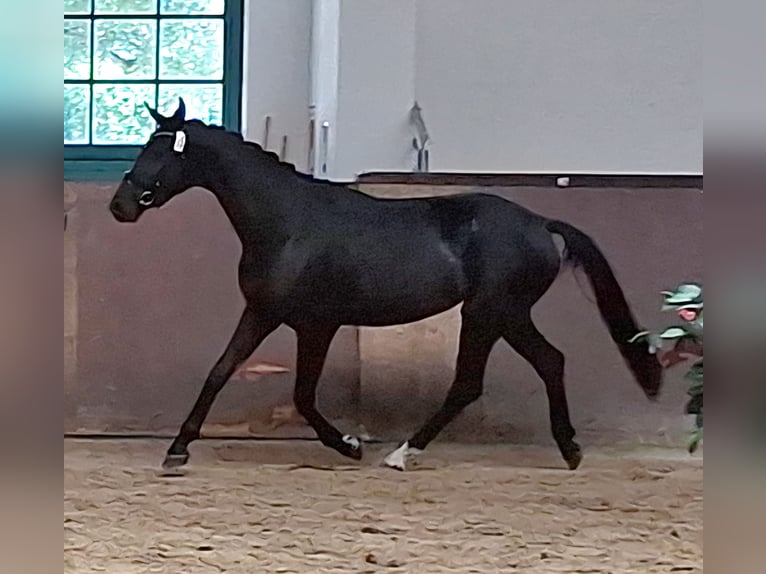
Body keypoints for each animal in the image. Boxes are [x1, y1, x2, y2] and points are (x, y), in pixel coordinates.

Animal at [109, 98, 662, 472]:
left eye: (162, 153)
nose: (121, 205)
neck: (288, 223)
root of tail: (539, 223)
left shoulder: (317, 324)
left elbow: (304, 395)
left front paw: (350, 446)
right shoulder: (262, 312)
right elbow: (220, 371)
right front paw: (178, 448)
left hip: (491, 312)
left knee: (486, 377)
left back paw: (405, 453)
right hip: (501, 315)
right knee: (536, 365)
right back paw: (564, 449)